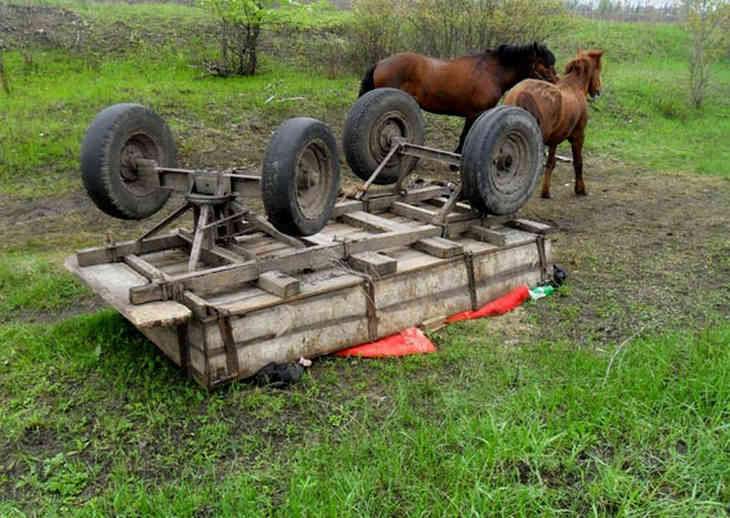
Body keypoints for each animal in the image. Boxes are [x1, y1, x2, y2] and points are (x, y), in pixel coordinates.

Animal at [358, 43, 556, 153]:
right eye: (544, 63)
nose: (555, 83)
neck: (491, 72)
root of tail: (381, 62)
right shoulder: (475, 113)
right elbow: (465, 135)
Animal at [504, 49, 604, 199]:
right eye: (598, 69)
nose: (598, 90)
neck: (574, 86)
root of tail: (522, 92)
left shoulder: (554, 141)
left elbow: (551, 163)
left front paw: (545, 191)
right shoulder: (578, 136)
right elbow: (578, 162)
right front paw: (580, 189)